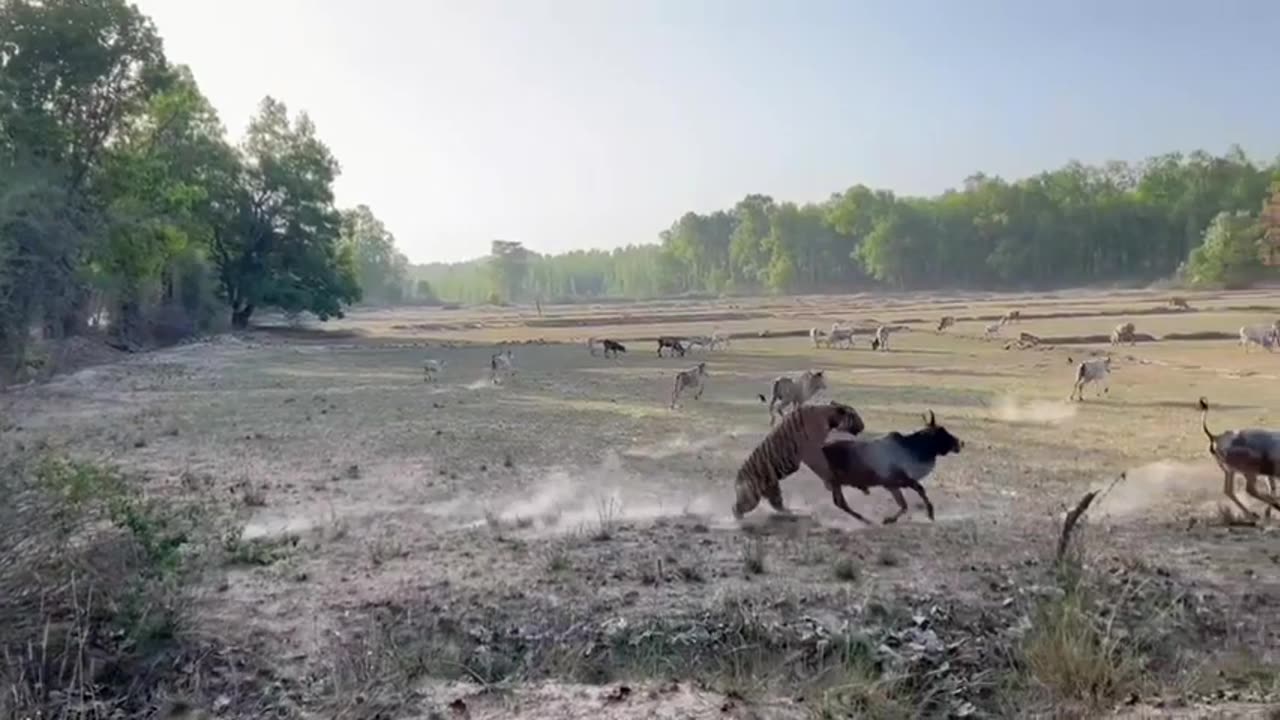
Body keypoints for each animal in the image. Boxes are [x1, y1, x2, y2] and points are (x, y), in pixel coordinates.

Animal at [737, 397, 865, 515]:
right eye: (855, 415)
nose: (863, 426)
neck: (829, 416)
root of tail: (738, 477)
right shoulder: (812, 453)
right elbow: (824, 468)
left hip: (774, 489)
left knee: (777, 505)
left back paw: (791, 512)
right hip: (750, 498)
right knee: (737, 509)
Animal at [819, 412, 962, 525]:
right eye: (941, 432)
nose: (960, 443)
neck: (914, 448)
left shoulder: (891, 485)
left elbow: (904, 504)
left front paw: (890, 520)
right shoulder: (901, 480)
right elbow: (919, 492)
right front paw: (930, 514)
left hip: (836, 483)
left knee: (840, 503)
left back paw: (865, 520)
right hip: (836, 481)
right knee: (841, 503)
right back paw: (867, 521)